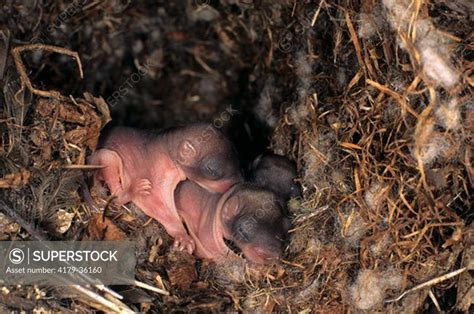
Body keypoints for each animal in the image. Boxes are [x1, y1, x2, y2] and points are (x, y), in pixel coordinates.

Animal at [87, 124, 243, 254]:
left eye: (238, 161)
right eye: (212, 171)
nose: (238, 183)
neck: (167, 145)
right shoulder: (154, 170)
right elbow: (153, 201)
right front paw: (183, 236)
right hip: (107, 157)